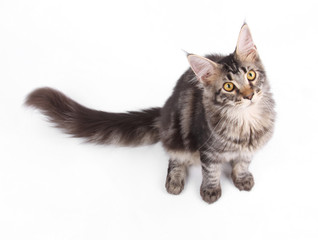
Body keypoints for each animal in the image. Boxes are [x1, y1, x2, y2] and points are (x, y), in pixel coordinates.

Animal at [24, 23, 274, 204]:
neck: (247, 122)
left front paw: (241, 178)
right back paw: (175, 180)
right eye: (229, 87)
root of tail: (164, 110)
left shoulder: (251, 148)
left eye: (251, 75)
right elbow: (211, 171)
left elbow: (243, 163)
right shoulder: (208, 149)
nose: (249, 95)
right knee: (174, 159)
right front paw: (211, 191)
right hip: (177, 135)